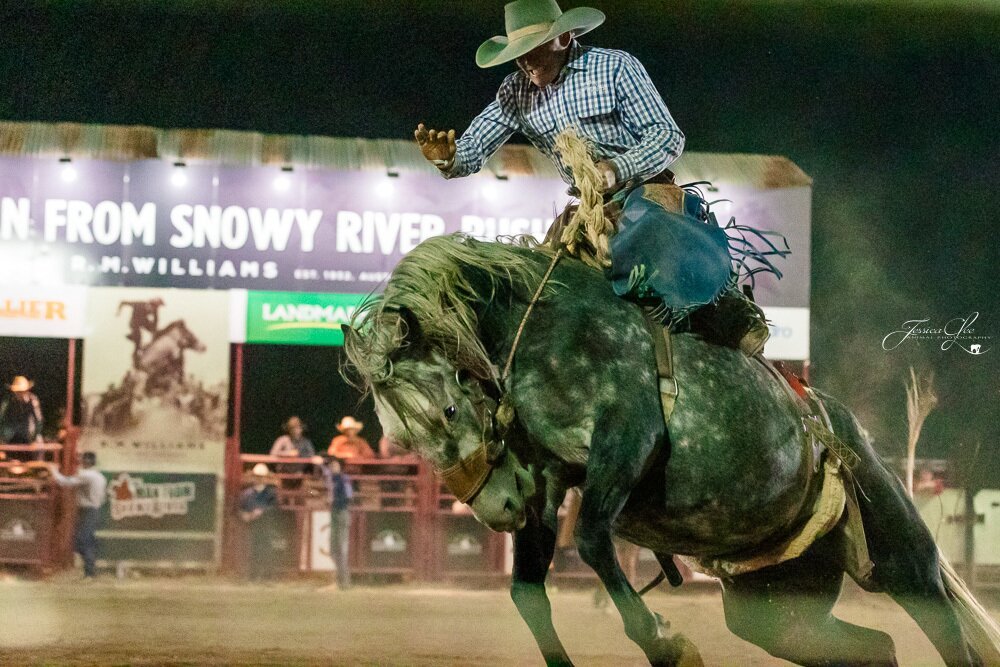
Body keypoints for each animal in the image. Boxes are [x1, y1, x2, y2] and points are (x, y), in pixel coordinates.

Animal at [344, 235, 1000, 667]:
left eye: (449, 411)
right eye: (401, 439)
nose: (494, 509)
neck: (543, 332)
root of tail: (845, 431)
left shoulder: (628, 438)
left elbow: (592, 540)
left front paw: (666, 641)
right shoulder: (546, 481)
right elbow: (527, 592)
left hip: (903, 560)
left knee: (947, 633)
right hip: (778, 609)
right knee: (875, 647)